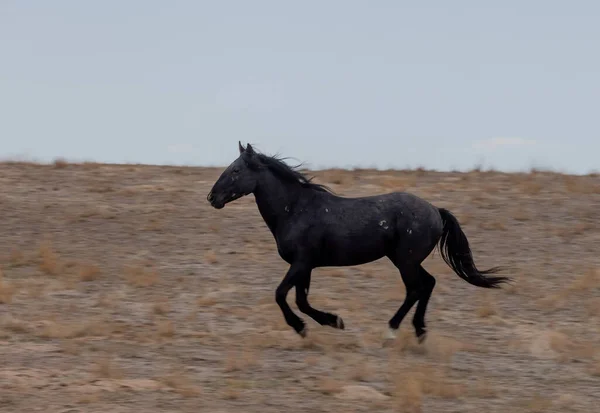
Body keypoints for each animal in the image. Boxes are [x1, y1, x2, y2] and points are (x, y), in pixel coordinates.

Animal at [207, 142, 510, 342]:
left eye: (235, 171)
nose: (212, 197)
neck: (295, 210)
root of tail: (435, 210)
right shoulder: (306, 266)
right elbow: (301, 299)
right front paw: (332, 321)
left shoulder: (301, 263)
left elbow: (281, 294)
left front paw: (305, 326)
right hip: (403, 259)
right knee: (427, 285)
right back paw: (418, 330)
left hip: (406, 260)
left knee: (417, 288)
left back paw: (392, 329)